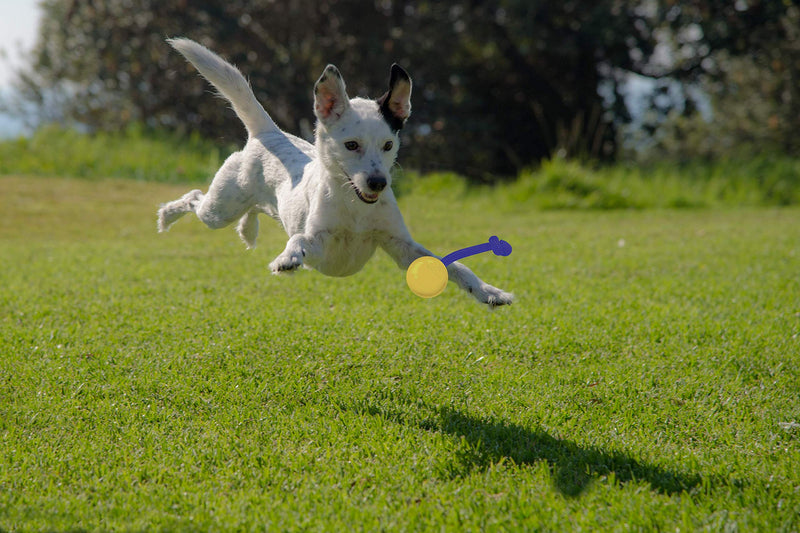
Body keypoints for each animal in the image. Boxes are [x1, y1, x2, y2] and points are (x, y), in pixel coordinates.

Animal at [156, 38, 512, 308]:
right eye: (351, 145)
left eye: (388, 145)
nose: (378, 183)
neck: (355, 209)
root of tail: (268, 133)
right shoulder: (319, 244)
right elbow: (299, 239)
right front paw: (287, 259)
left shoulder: (401, 247)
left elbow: (456, 266)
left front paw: (489, 292)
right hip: (219, 208)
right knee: (194, 198)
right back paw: (166, 216)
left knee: (253, 209)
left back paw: (247, 230)